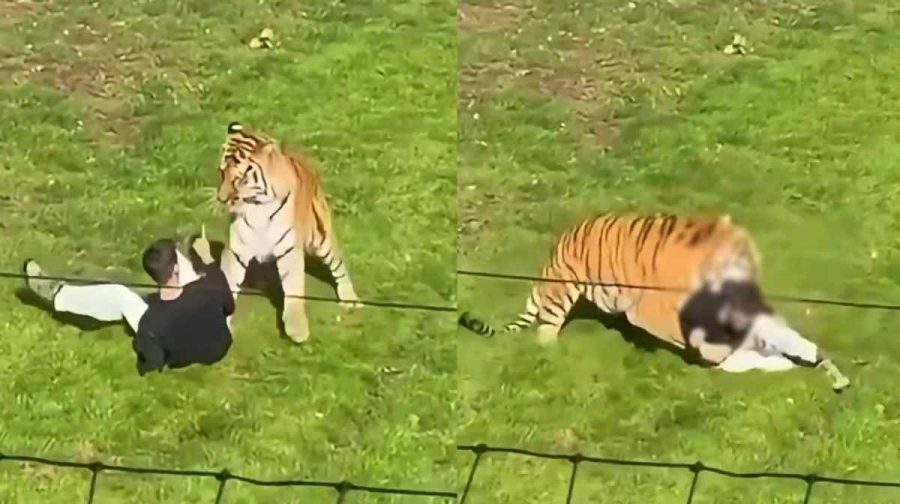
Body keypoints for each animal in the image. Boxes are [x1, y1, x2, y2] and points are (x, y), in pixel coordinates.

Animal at [216, 121, 361, 343]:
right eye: (222, 172)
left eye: (239, 179)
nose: (221, 199)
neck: (257, 206)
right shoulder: (237, 249)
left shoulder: (289, 248)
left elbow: (293, 287)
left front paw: (296, 329)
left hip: (321, 238)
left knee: (339, 265)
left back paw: (350, 299)